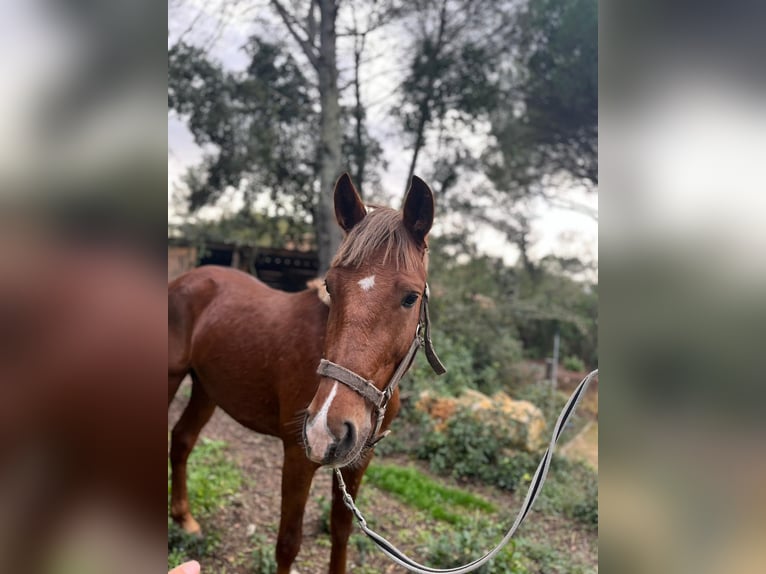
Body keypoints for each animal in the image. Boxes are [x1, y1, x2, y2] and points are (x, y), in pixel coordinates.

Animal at [169, 176, 444, 574]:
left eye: (411, 297)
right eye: (331, 286)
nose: (328, 429)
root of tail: (187, 278)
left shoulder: (358, 460)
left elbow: (341, 530)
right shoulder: (299, 456)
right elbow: (288, 543)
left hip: (207, 389)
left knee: (182, 439)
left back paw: (186, 520)